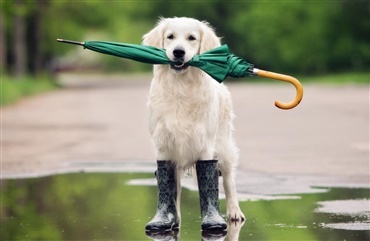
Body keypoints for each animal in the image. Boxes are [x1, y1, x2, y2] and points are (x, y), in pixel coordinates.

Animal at [143, 17, 244, 224]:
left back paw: (234, 211)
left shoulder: (205, 145)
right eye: (170, 37)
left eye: (192, 38)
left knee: (229, 179)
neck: (181, 87)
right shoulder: (164, 145)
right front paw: (169, 218)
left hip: (223, 146)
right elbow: (170, 187)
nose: (178, 52)